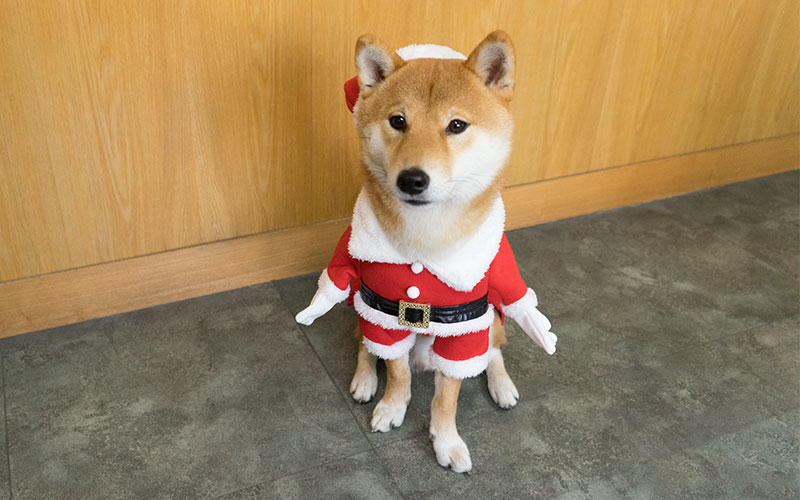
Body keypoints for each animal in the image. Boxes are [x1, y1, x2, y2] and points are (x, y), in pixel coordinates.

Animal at [296, 31, 556, 472]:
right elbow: (396, 370)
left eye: (456, 125)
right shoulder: (384, 312)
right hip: (360, 304)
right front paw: (392, 406)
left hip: (492, 317)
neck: (425, 240)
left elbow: (447, 396)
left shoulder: (464, 324)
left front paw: (446, 441)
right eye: (398, 121)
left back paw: (502, 384)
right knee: (364, 345)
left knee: (494, 349)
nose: (412, 179)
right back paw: (365, 377)